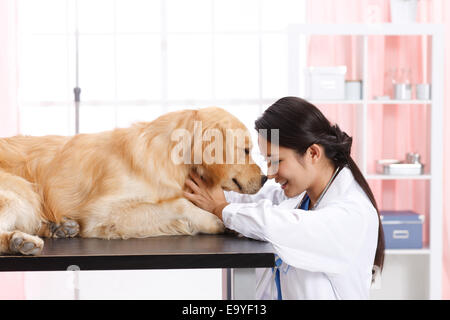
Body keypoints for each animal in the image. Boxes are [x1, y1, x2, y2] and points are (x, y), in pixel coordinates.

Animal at [0, 107, 266, 255]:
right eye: (246, 150)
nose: (264, 178)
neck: (167, 156)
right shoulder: (101, 214)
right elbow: (179, 204)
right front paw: (216, 221)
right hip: (22, 192)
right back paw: (19, 242)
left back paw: (59, 228)